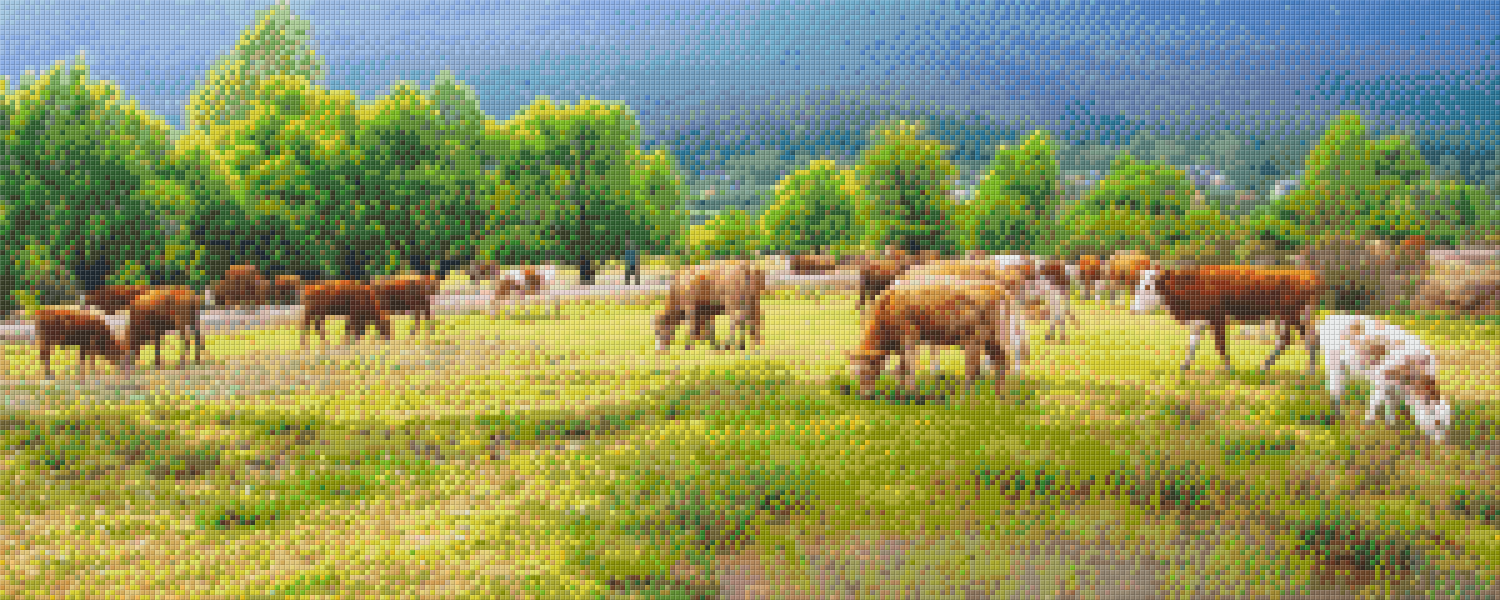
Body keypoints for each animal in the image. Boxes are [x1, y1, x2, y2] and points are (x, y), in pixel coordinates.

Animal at [846, 281, 1023, 395]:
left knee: (979, 368)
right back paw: (999, 395)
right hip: (991, 340)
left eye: (866, 371)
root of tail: (998, 288)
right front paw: (901, 389)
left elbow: (908, 364)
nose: (864, 395)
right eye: (855, 372)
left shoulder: (910, 336)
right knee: (998, 362)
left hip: (982, 337)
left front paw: (910, 391)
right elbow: (901, 366)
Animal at [1131, 265, 1322, 376]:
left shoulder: (1218, 318)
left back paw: (1306, 370)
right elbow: (1193, 344)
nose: (1132, 308)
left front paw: (1228, 369)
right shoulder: (1199, 321)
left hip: (1290, 314)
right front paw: (1184, 366)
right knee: (1301, 338)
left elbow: (1220, 344)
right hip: (1285, 317)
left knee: (1301, 339)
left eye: (1147, 286)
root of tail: (1307, 274)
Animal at [1319, 313, 1450, 443]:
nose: (1442, 442)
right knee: (1334, 380)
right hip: (1333, 358)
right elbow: (1376, 401)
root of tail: (1331, 318)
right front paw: (1368, 422)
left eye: (1446, 425)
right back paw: (1336, 400)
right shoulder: (1381, 380)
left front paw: (1390, 423)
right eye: (1437, 422)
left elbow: (1390, 402)